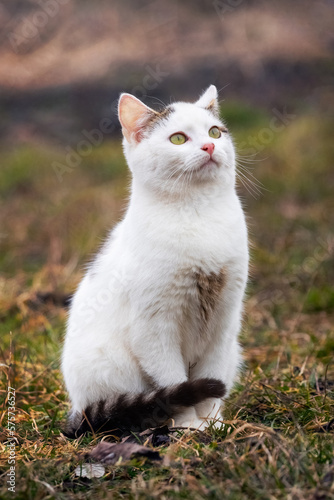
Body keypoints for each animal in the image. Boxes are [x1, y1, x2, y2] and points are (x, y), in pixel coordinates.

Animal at [62, 86, 248, 438]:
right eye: (177, 139)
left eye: (214, 132)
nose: (209, 146)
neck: (198, 214)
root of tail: (78, 411)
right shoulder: (153, 329)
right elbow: (174, 386)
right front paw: (190, 426)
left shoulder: (224, 321)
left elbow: (212, 378)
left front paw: (213, 423)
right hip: (110, 368)